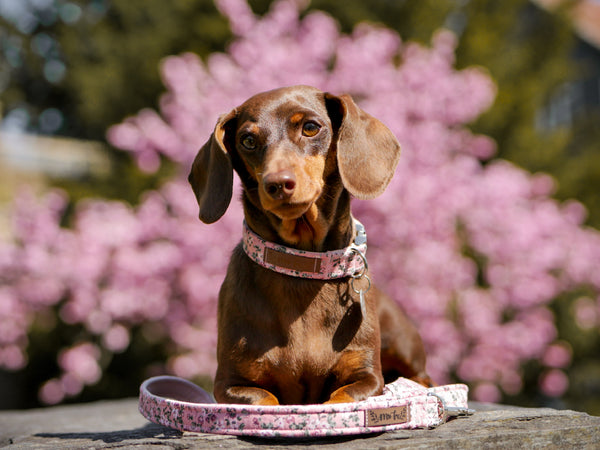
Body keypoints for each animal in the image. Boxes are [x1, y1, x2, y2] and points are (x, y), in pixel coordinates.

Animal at [190, 86, 428, 406]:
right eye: (248, 140)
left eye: (311, 127)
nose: (277, 184)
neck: (302, 265)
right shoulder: (231, 383)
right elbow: (266, 401)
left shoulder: (367, 377)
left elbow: (340, 400)